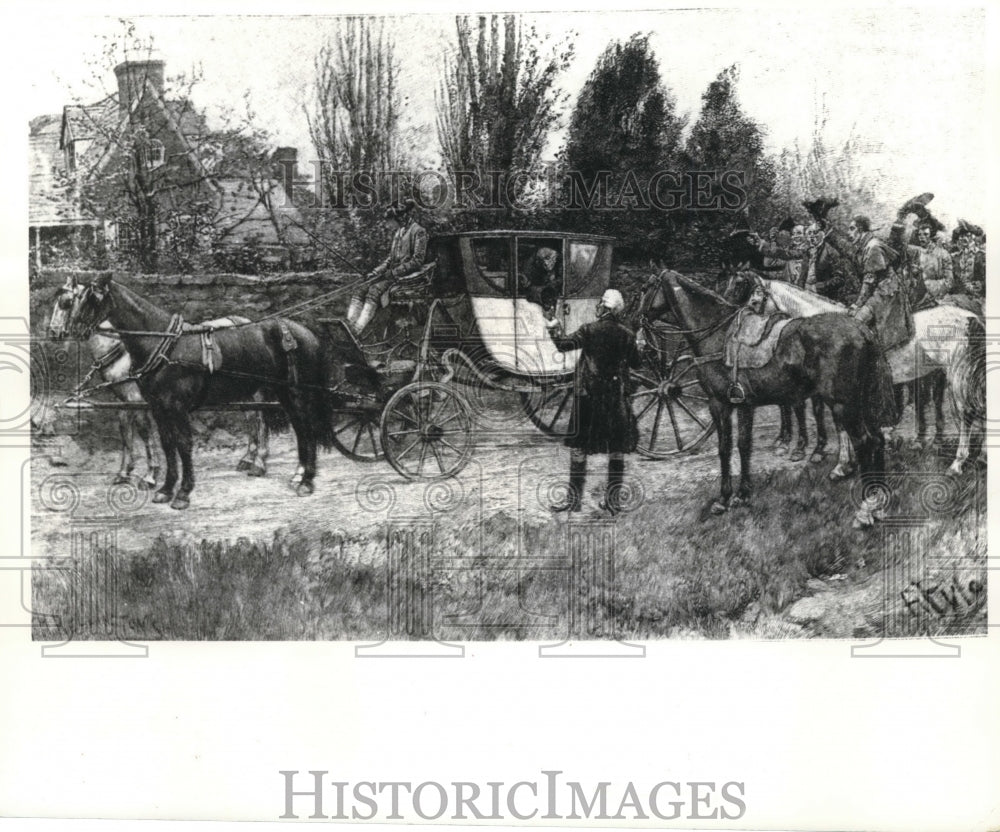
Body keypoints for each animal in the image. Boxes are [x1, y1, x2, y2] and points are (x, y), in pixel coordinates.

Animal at [68, 274, 340, 508]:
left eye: (92, 299)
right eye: (76, 299)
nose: (73, 330)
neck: (164, 345)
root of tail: (304, 333)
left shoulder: (177, 408)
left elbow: (183, 444)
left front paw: (183, 493)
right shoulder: (158, 407)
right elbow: (168, 445)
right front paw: (166, 490)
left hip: (297, 393)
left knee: (306, 429)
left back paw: (306, 480)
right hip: (284, 394)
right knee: (300, 429)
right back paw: (299, 476)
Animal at [648, 270, 900, 524]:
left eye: (646, 290)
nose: (641, 325)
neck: (717, 337)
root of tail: (861, 329)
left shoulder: (719, 404)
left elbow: (726, 448)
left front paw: (724, 498)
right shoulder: (743, 404)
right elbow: (743, 446)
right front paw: (742, 494)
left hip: (843, 404)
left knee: (865, 442)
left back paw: (866, 510)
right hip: (862, 402)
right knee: (877, 439)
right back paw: (878, 503)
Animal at [756, 278, 984, 474]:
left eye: (756, 295)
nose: (759, 334)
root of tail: (969, 317)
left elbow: (841, 425)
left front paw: (842, 465)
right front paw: (852, 462)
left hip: (956, 372)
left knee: (965, 412)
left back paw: (957, 463)